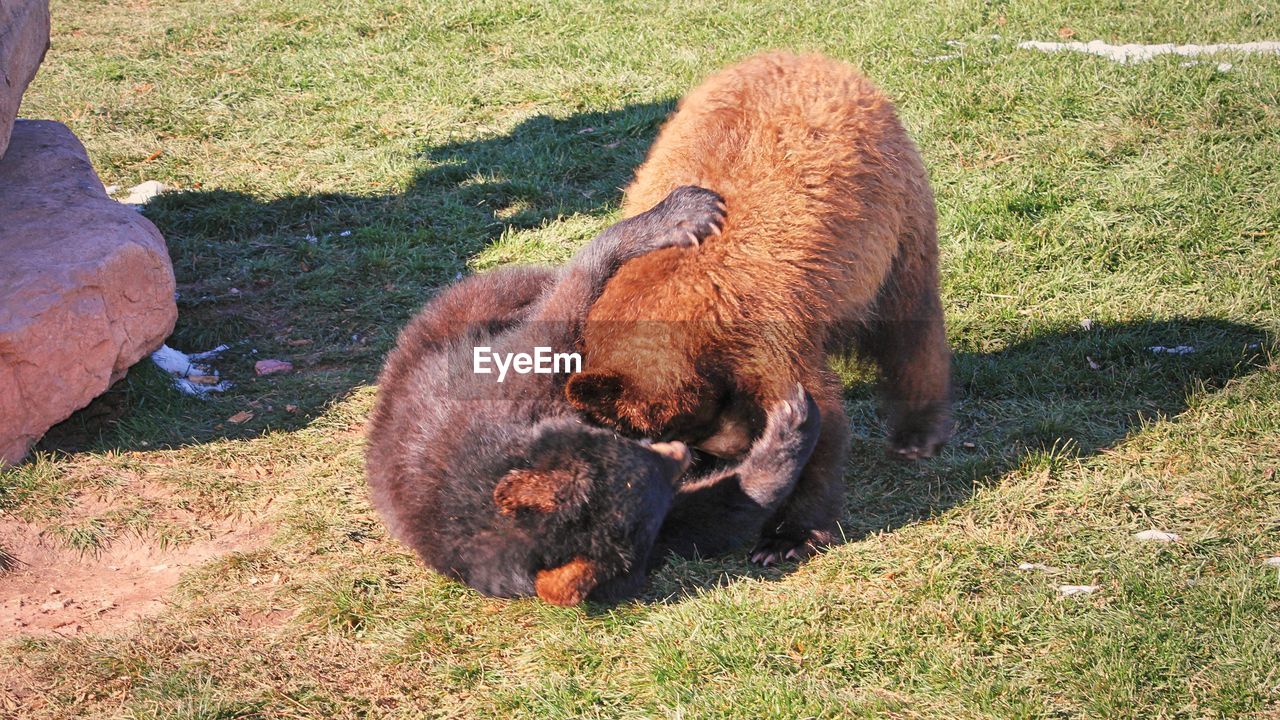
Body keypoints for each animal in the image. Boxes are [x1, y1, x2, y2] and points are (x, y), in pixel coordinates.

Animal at [568, 53, 952, 563]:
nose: (729, 452)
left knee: (910, 322)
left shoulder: (767, 330)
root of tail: (814, 56)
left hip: (895, 227)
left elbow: (819, 413)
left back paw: (917, 432)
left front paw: (788, 536)